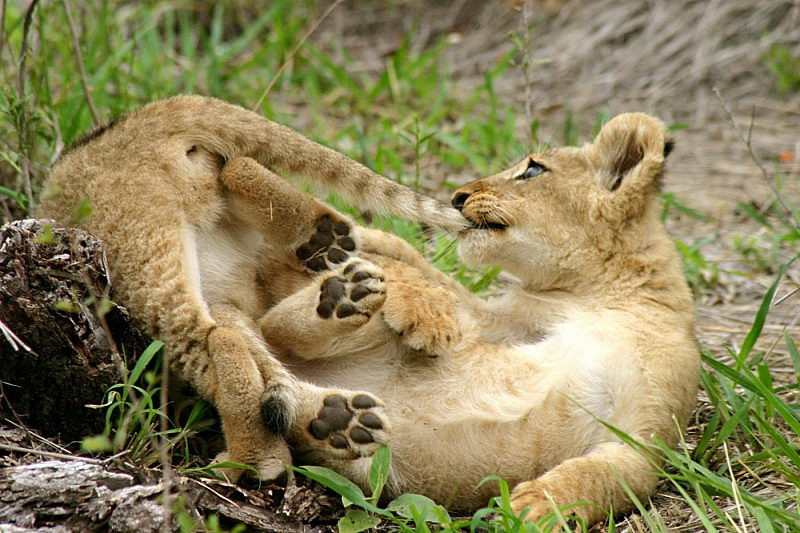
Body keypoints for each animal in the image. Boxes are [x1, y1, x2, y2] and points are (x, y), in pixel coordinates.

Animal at [243, 112, 700, 527]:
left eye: (533, 169)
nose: (457, 196)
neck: (604, 297)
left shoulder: (642, 440)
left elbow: (595, 475)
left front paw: (533, 508)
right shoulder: (504, 321)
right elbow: (432, 275)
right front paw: (368, 245)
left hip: (371, 462)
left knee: (284, 362)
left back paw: (336, 416)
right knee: (275, 328)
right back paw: (340, 295)